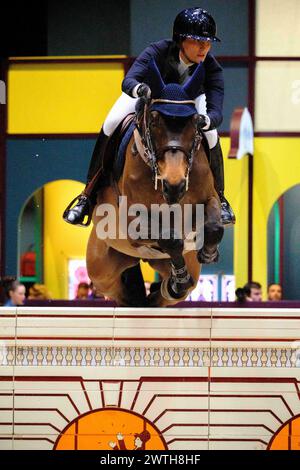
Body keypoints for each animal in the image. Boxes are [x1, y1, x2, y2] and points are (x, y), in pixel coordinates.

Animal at [85, 59, 224, 308]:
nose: (174, 185)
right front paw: (180, 277)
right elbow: (170, 239)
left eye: (195, 124)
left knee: (168, 293)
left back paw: (166, 288)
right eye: (154, 120)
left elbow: (214, 226)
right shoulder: (133, 221)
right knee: (122, 291)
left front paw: (208, 253)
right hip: (101, 268)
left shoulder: (208, 199)